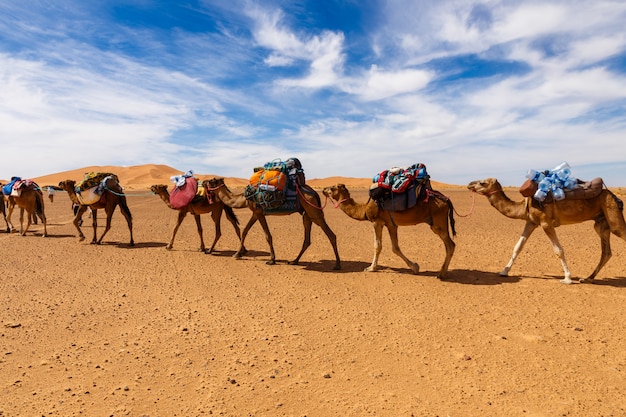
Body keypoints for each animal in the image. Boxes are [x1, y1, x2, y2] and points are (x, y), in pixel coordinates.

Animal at [206, 176, 338, 270]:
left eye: (212, 181)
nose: (203, 182)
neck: (245, 198)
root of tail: (315, 193)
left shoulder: (259, 212)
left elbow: (267, 235)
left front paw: (271, 260)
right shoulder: (255, 213)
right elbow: (245, 231)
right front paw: (238, 253)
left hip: (314, 211)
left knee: (331, 235)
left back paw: (337, 265)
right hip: (307, 214)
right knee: (307, 239)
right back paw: (294, 261)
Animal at [322, 182, 454, 276]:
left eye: (332, 188)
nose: (323, 190)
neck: (364, 208)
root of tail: (446, 200)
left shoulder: (376, 222)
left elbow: (377, 246)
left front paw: (371, 268)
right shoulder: (391, 225)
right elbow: (395, 247)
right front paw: (415, 267)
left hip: (438, 222)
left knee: (451, 245)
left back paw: (441, 274)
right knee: (449, 245)